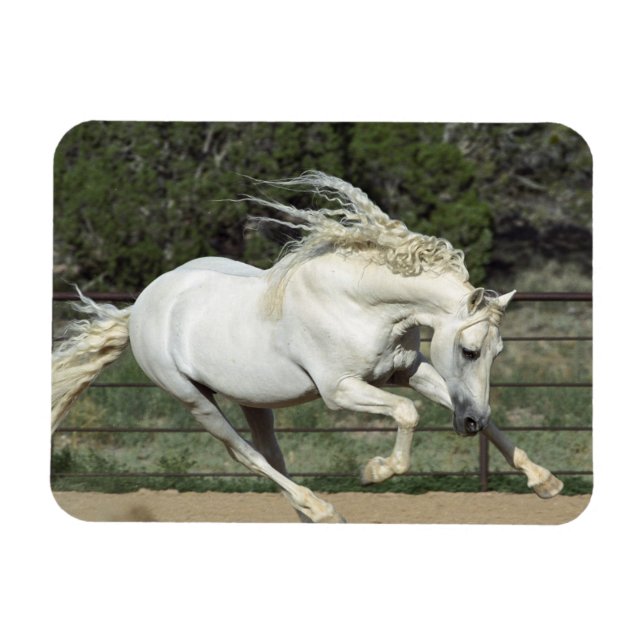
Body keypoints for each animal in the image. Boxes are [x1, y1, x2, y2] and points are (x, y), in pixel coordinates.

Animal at [51, 171, 563, 522]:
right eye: (470, 350)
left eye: (497, 353)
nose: (469, 422)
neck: (359, 302)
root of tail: (140, 306)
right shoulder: (340, 391)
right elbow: (407, 413)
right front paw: (376, 471)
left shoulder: (408, 369)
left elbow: (449, 410)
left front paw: (545, 482)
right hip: (193, 399)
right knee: (247, 455)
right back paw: (322, 510)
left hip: (252, 399)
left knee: (271, 453)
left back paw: (307, 513)